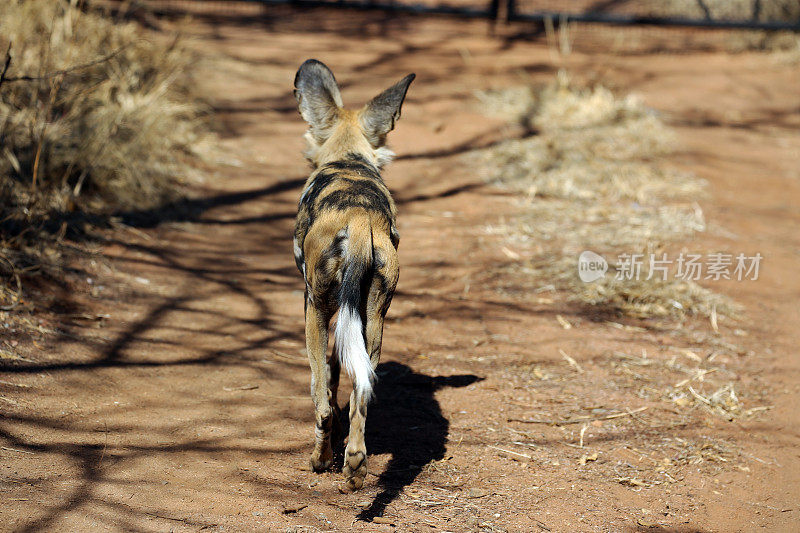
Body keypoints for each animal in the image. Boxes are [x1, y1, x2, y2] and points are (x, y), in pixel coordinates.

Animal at [294, 60, 418, 488]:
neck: (349, 157)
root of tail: (360, 221)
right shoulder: (352, 322)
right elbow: (338, 378)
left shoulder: (316, 308)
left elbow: (325, 387)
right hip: (375, 320)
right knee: (359, 398)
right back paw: (354, 468)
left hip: (315, 311)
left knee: (322, 403)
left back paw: (319, 461)